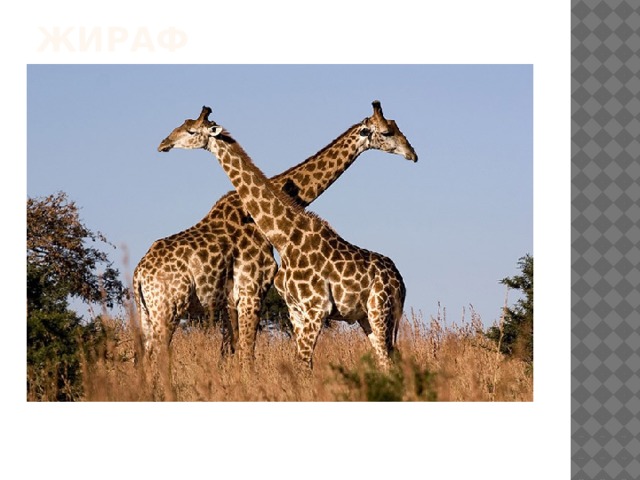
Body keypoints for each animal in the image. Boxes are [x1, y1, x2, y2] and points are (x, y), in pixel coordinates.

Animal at [134, 101, 417, 360]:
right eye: (388, 132)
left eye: (189, 129)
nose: (412, 153)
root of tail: (138, 275)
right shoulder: (252, 291)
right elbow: (244, 354)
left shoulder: (241, 298)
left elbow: (235, 354)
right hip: (166, 308)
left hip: (150, 313)